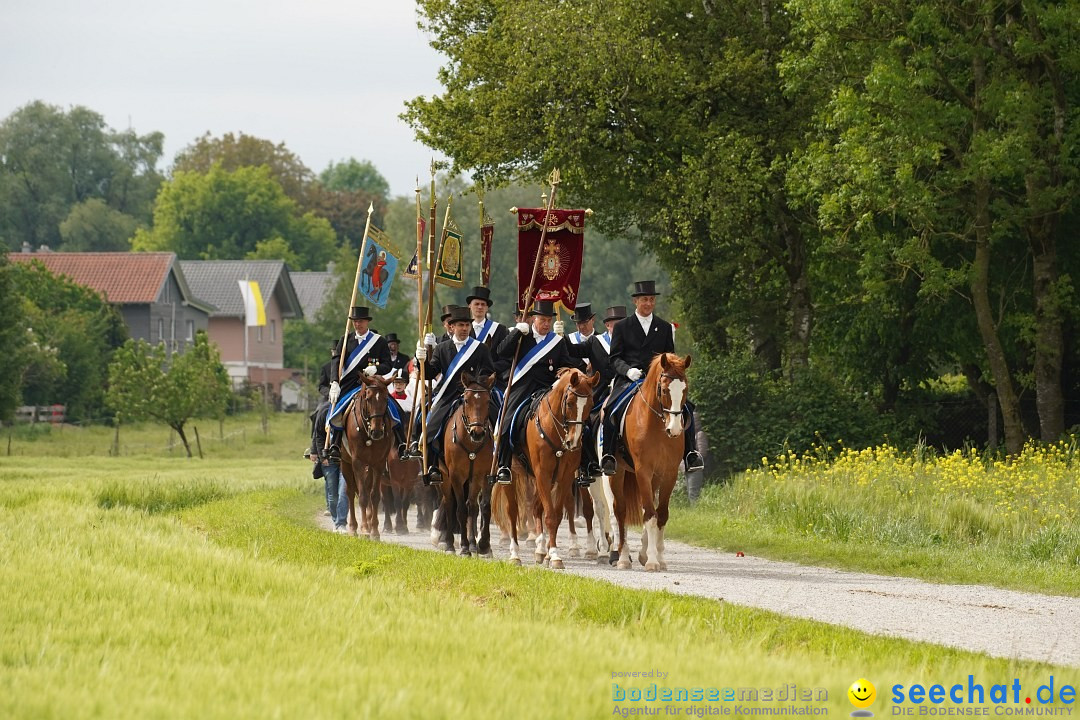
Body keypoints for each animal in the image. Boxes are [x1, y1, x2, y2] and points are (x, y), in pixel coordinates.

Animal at [339, 375, 395, 537]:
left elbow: (374, 496)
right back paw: (353, 527)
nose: (377, 432)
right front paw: (364, 529)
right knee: (351, 493)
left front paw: (374, 531)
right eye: (368, 398)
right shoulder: (357, 462)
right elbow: (363, 496)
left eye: (386, 398)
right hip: (345, 463)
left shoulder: (378, 463)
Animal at [432, 371, 494, 557]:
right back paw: (449, 543)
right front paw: (464, 548)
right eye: (466, 400)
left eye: (488, 400)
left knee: (471, 506)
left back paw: (473, 544)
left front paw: (482, 545)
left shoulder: (482, 474)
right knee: (449, 503)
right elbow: (459, 509)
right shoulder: (456, 476)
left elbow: (480, 507)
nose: (477, 433)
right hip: (445, 478)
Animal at [490, 371, 600, 569]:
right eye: (569, 402)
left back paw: (541, 550)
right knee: (512, 512)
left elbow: (555, 514)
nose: (573, 442)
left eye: (590, 404)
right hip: (513, 476)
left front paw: (552, 554)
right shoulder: (543, 473)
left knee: (536, 508)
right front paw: (555, 556)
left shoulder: (563, 477)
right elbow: (549, 515)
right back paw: (515, 554)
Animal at [591, 351, 691, 569]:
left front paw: (658, 557)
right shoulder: (643, 471)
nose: (675, 429)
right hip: (614, 474)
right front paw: (652, 561)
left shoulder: (668, 473)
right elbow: (650, 515)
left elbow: (661, 514)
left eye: (685, 388)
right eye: (664, 389)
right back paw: (621, 557)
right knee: (618, 511)